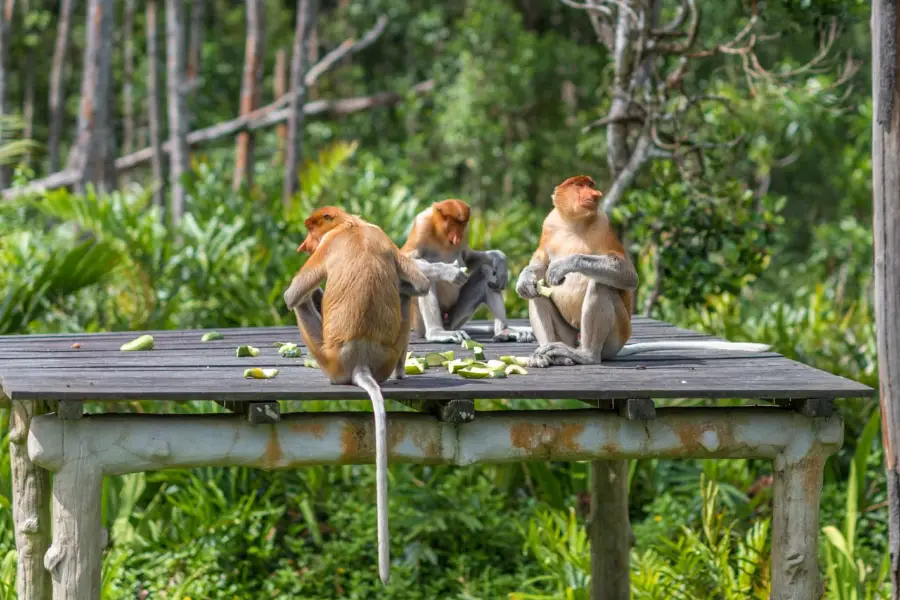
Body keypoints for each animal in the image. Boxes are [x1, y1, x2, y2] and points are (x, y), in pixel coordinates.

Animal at [286, 206, 430, 580]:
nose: (304, 245)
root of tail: (360, 361)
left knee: (302, 302)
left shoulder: (329, 245)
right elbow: (421, 285)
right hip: (387, 352)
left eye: (312, 230)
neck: (352, 225)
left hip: (330, 359)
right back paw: (400, 372)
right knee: (407, 292)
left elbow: (292, 295)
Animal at [400, 199, 536, 342]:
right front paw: (450, 272)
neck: (441, 234)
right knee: (428, 278)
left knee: (486, 272)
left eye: (462, 224)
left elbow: (468, 257)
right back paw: (436, 332)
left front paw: (500, 260)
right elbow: (404, 259)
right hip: (419, 322)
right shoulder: (422, 224)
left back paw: (504, 331)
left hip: (455, 318)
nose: (457, 238)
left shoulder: (466, 232)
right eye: (452, 223)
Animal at [512, 175, 768, 366]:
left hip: (617, 335)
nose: (596, 195)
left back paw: (584, 355)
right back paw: (546, 354)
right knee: (537, 293)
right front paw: (524, 279)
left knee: (601, 284)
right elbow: (540, 263)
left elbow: (626, 273)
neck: (573, 223)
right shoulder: (550, 224)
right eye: (579, 185)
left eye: (590, 185)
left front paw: (562, 266)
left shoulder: (603, 224)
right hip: (569, 333)